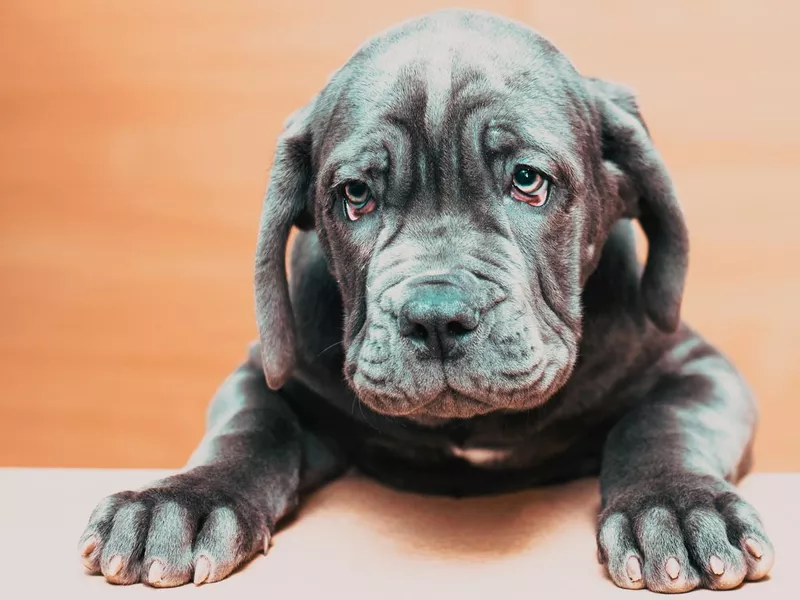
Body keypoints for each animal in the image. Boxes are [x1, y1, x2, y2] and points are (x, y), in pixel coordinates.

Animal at [76, 8, 776, 592]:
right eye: (356, 195)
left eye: (528, 180)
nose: (436, 317)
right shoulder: (269, 376)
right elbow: (247, 427)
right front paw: (182, 503)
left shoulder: (699, 368)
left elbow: (665, 423)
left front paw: (677, 507)